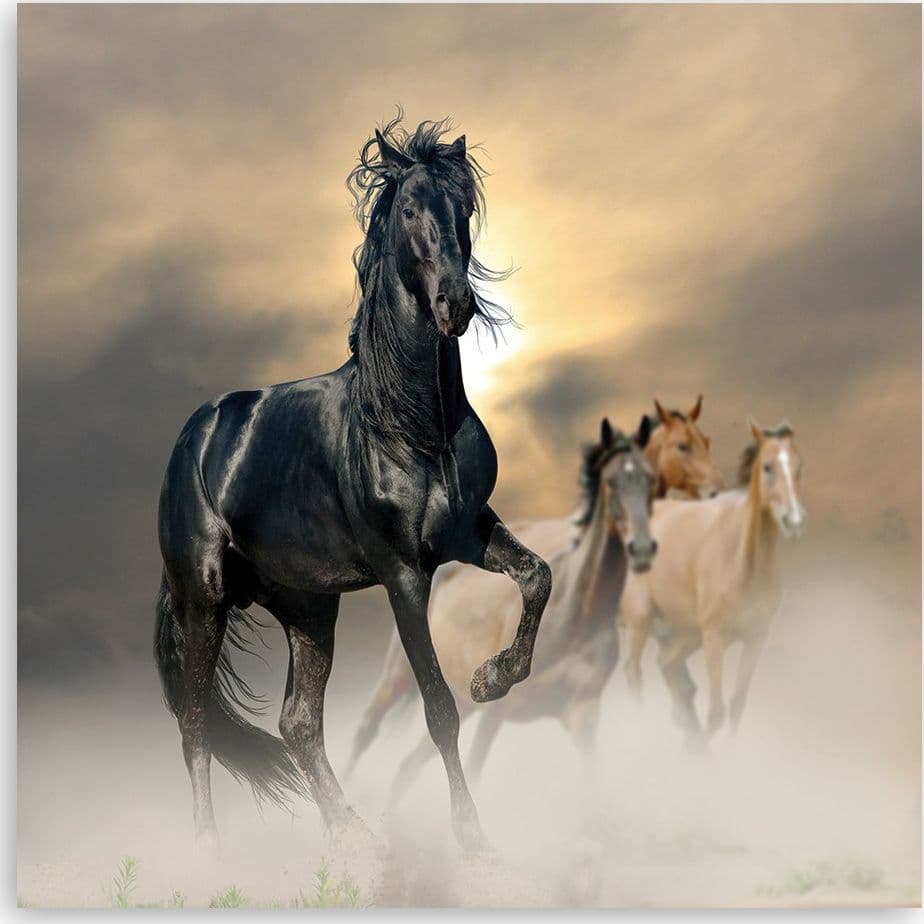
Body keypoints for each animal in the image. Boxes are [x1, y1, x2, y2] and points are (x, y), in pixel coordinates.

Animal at [153, 115, 552, 855]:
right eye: (410, 210)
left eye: (465, 208)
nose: (456, 303)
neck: (410, 424)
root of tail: (195, 437)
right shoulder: (403, 574)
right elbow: (438, 707)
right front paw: (471, 836)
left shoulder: (469, 532)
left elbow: (537, 576)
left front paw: (492, 677)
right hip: (205, 601)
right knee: (195, 727)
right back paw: (210, 855)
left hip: (309, 608)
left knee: (298, 723)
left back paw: (355, 838)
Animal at [345, 418, 657, 788]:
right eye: (612, 481)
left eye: (651, 478)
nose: (642, 549)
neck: (578, 615)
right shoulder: (495, 713)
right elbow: (476, 768)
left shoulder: (583, 716)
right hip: (398, 676)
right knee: (366, 733)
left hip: (462, 702)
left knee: (412, 762)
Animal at [620, 419, 806, 745]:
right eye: (767, 466)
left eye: (799, 466)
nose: (793, 520)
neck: (744, 565)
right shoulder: (714, 637)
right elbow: (717, 711)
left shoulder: (756, 637)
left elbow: (736, 706)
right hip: (642, 621)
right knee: (634, 671)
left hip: (687, 632)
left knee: (667, 663)